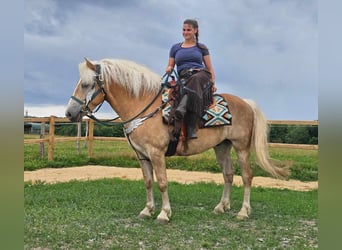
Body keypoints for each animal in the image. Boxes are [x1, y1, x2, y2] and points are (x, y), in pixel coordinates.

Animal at [65, 57, 288, 224]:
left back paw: (243, 211)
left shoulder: (156, 153)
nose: (69, 113)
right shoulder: (142, 155)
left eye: (86, 85)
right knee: (228, 175)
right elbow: (148, 182)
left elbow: (163, 182)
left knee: (247, 176)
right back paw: (221, 207)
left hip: (241, 147)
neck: (143, 107)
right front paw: (147, 210)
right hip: (222, 147)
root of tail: (246, 103)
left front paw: (164, 214)